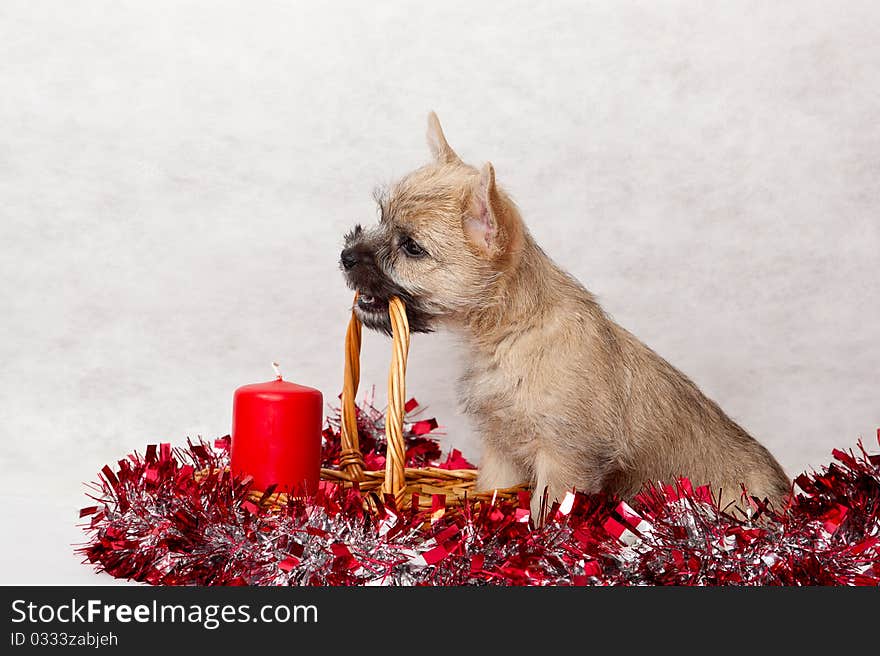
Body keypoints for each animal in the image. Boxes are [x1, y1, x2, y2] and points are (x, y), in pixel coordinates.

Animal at [338, 113, 792, 524]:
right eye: (381, 217)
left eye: (412, 247)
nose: (346, 256)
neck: (510, 333)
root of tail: (785, 498)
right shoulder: (501, 453)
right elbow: (493, 492)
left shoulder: (564, 459)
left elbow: (548, 513)